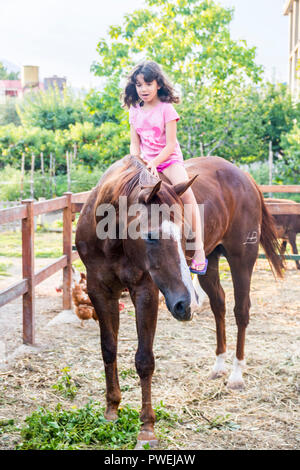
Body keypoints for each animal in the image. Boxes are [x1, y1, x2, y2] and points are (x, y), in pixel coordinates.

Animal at [75, 154, 284, 448]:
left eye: (185, 233)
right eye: (151, 235)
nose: (185, 304)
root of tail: (245, 177)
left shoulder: (146, 293)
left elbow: (144, 360)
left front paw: (147, 429)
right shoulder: (99, 291)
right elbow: (108, 349)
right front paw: (111, 410)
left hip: (242, 259)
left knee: (240, 312)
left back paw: (235, 374)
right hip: (211, 262)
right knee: (219, 305)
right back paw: (218, 366)